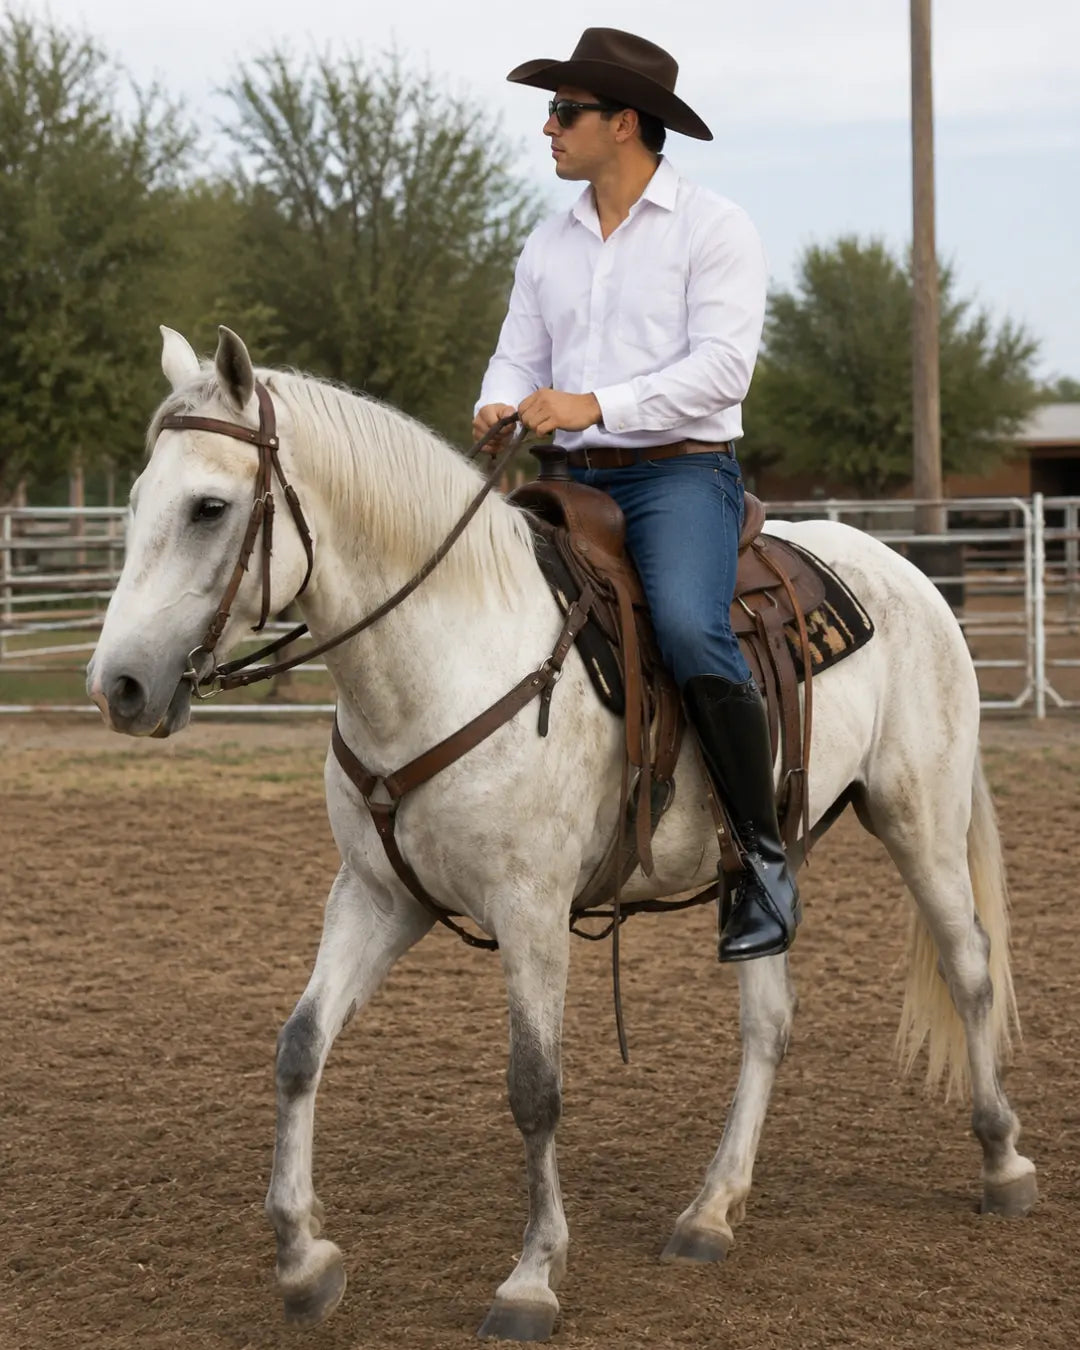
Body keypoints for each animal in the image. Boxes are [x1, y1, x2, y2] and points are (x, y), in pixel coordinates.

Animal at [87, 325, 1037, 1341]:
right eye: (137, 500)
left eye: (209, 507)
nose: (119, 686)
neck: (444, 658)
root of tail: (904, 571)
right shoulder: (377, 897)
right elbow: (300, 1047)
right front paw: (304, 1260)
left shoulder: (531, 910)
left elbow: (534, 1088)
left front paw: (532, 1276)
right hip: (759, 871)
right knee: (769, 1022)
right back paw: (711, 1208)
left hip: (920, 818)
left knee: (970, 969)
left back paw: (1002, 1162)